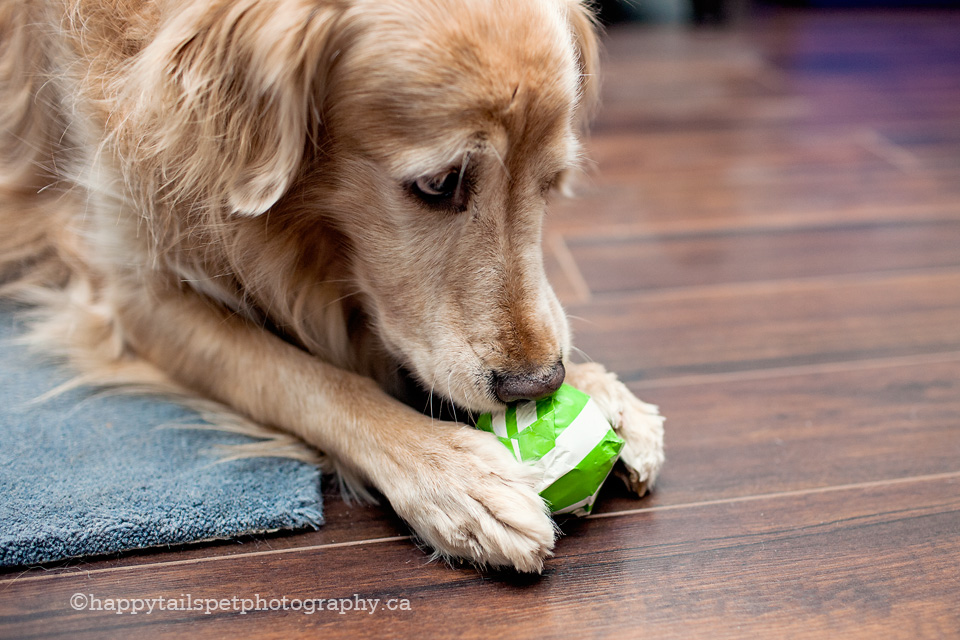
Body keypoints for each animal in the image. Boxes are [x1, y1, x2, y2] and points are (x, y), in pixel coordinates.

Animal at [0, 0, 660, 568]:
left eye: (551, 181)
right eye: (439, 183)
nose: (539, 385)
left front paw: (603, 391)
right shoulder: (136, 295)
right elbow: (307, 380)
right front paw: (454, 475)